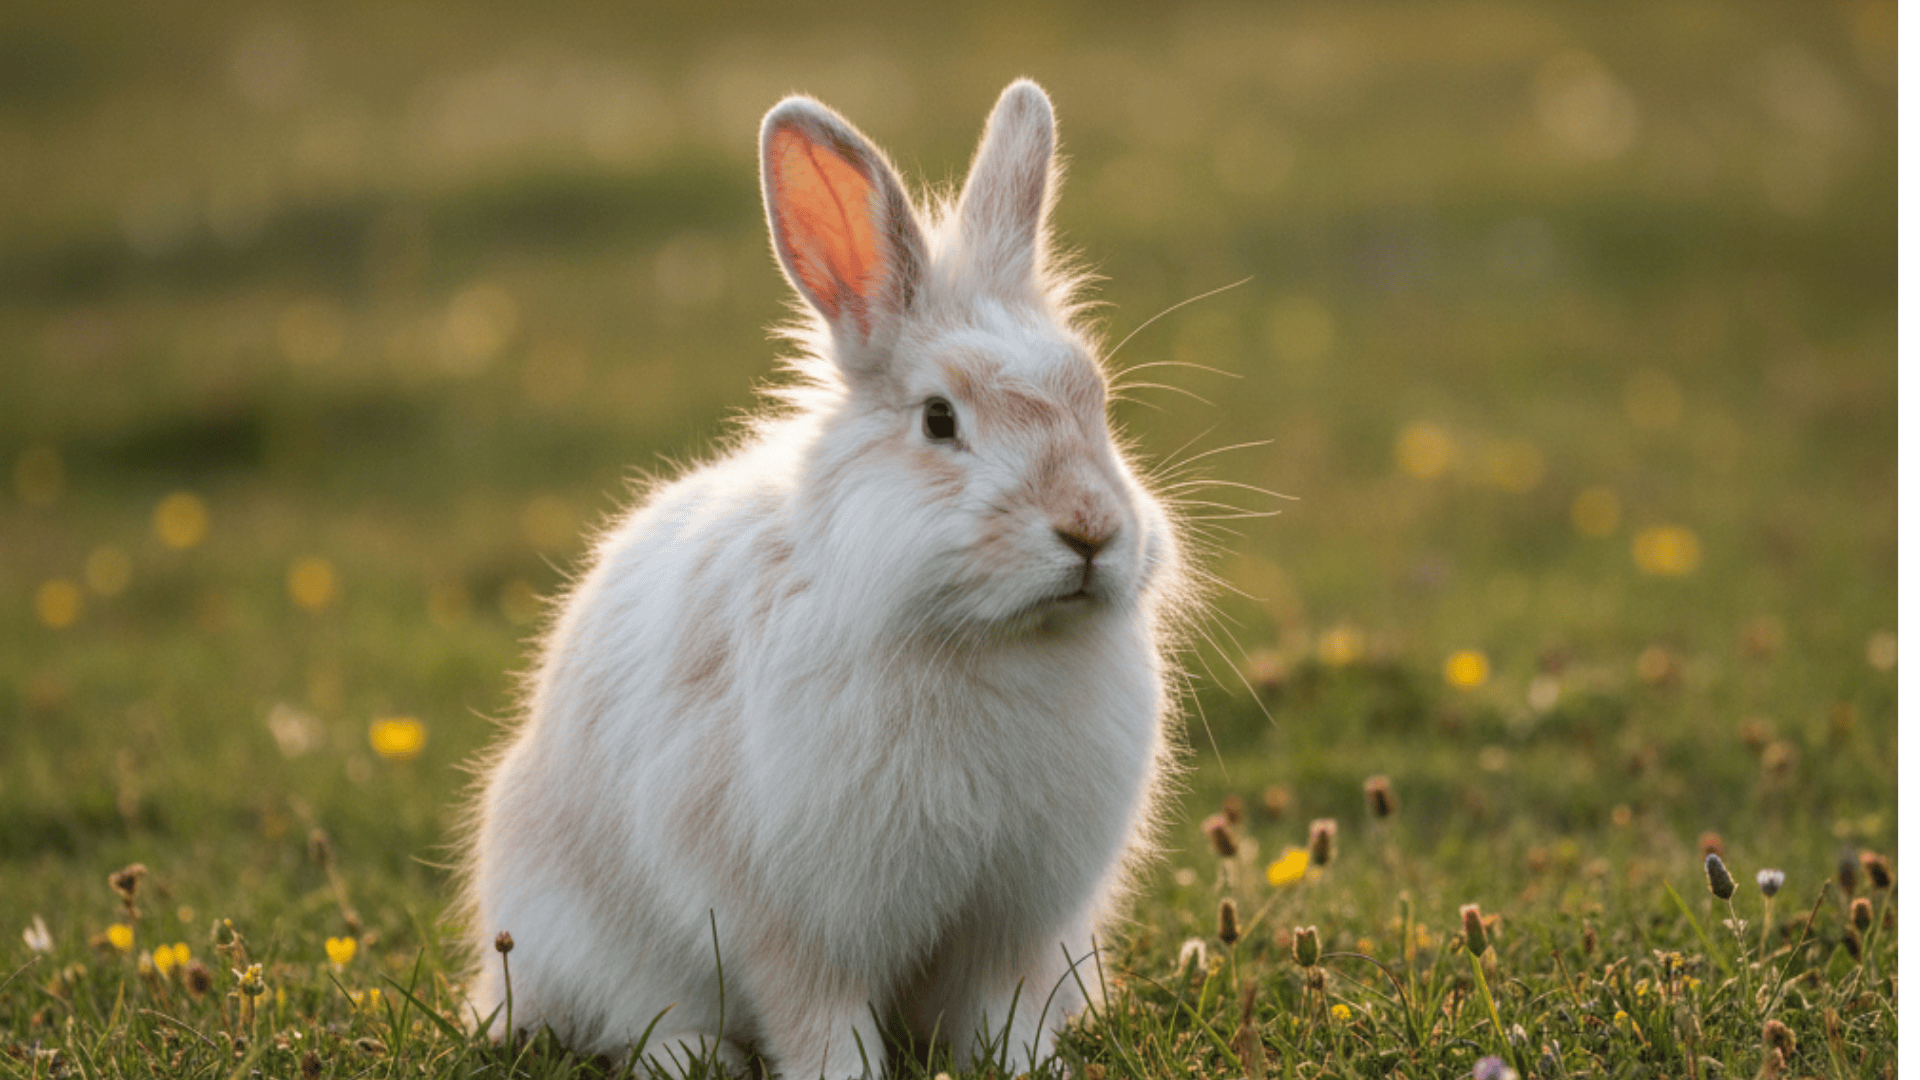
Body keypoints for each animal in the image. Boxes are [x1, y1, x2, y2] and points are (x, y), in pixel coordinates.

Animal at [460, 78, 1193, 1079]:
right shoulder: (793, 922)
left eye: (1099, 403)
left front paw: (1030, 1068)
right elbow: (818, 1017)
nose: (1091, 531)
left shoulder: (1010, 925)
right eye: (938, 419)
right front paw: (846, 1074)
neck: (980, 638)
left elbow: (1001, 1014)